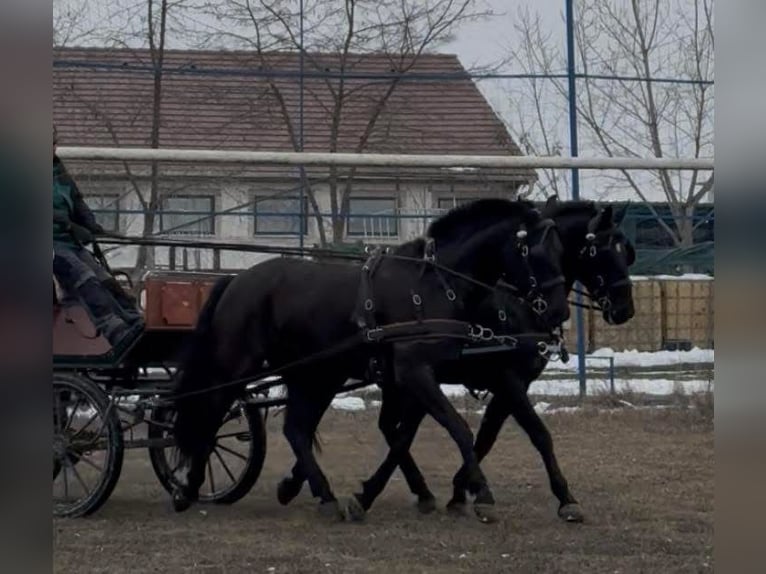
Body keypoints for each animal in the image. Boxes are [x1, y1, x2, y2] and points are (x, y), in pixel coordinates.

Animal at [170, 199, 571, 521]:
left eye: (562, 251)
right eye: (537, 253)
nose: (559, 311)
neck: (434, 285)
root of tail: (236, 280)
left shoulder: (434, 377)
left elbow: (412, 435)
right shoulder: (415, 372)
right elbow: (459, 428)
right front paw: (482, 495)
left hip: (315, 374)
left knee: (295, 428)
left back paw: (322, 495)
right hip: (240, 365)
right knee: (211, 412)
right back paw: (188, 488)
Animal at [275, 197, 636, 524]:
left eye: (627, 253)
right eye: (602, 251)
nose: (625, 310)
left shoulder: (508, 384)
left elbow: (485, 437)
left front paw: (459, 492)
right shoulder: (507, 378)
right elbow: (534, 433)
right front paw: (563, 498)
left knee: (370, 428)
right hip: (334, 376)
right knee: (325, 427)